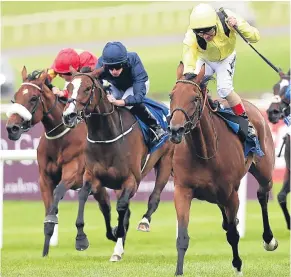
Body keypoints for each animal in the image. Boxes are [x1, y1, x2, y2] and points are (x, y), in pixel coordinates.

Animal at [5, 67, 115, 256]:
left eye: (33, 98)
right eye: (16, 96)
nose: (12, 128)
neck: (60, 138)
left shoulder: (74, 173)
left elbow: (58, 193)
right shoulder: (44, 179)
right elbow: (49, 207)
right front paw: (45, 252)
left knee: (104, 204)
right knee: (104, 204)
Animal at [62, 67, 173, 260]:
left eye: (87, 88)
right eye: (68, 88)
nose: (69, 116)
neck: (106, 136)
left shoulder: (131, 180)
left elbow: (121, 207)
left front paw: (119, 235)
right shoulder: (93, 177)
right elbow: (92, 201)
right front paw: (82, 239)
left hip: (165, 162)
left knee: (154, 197)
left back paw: (143, 222)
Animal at [170, 63, 280, 276]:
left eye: (195, 98)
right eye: (171, 96)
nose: (175, 130)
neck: (204, 151)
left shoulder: (230, 194)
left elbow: (232, 235)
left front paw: (238, 266)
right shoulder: (183, 190)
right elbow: (182, 237)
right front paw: (178, 271)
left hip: (263, 171)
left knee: (262, 194)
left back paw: (269, 239)